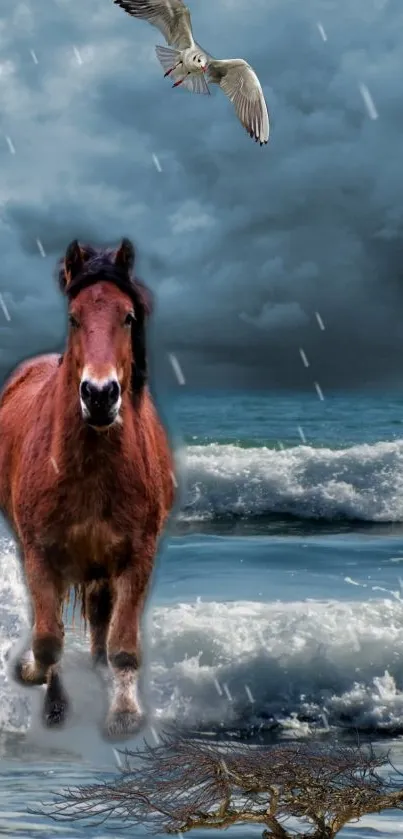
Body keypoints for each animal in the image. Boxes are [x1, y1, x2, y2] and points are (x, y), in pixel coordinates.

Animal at [0, 238, 175, 740]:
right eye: (74, 317)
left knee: (100, 619)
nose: (99, 395)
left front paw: (125, 712)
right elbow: (47, 638)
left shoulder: (138, 556)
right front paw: (39, 685)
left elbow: (123, 643)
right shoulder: (40, 554)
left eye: (128, 317)